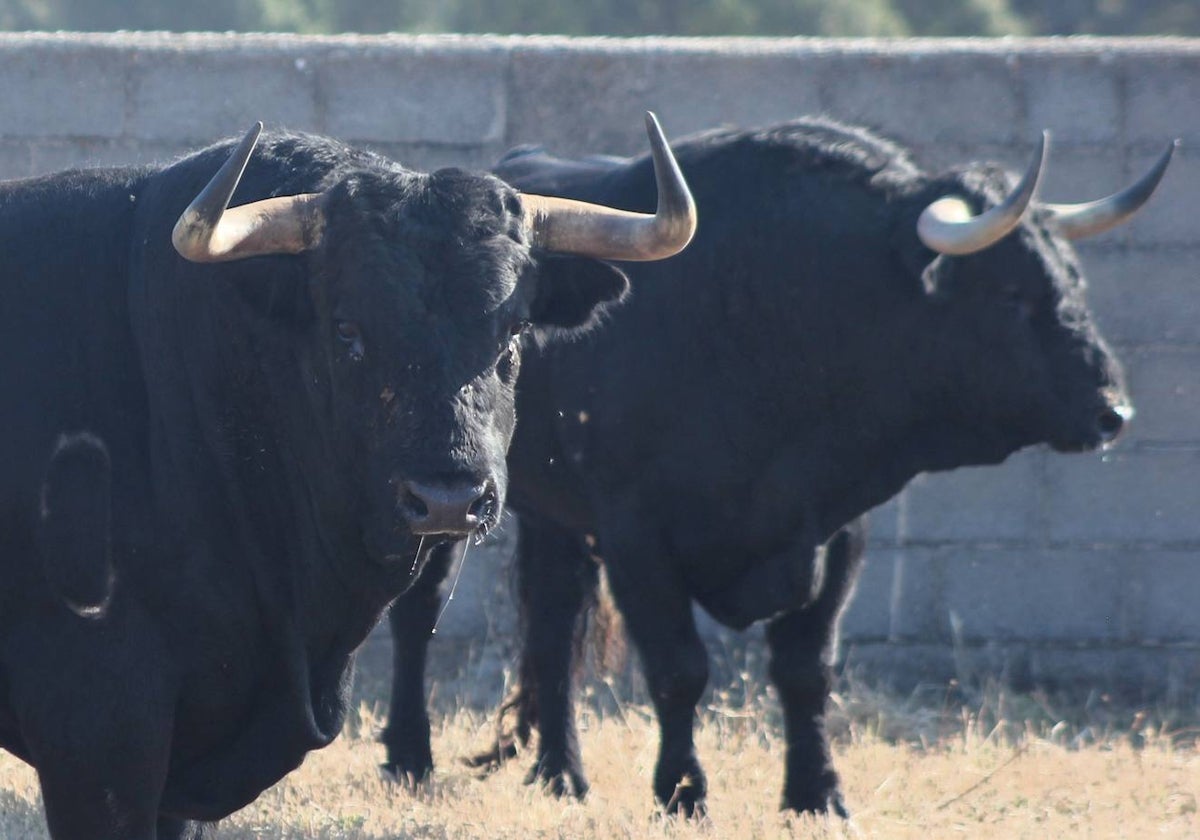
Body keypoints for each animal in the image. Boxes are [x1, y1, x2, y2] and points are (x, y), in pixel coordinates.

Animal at [384, 116, 1171, 816]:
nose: (1112, 410)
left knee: (552, 628)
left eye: (1072, 281)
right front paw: (683, 794)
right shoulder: (638, 537)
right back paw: (410, 760)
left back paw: (562, 776)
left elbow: (806, 670)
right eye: (1011, 293)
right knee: (420, 620)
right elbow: (679, 670)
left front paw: (818, 794)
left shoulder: (837, 533)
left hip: (551, 520)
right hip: (450, 505)